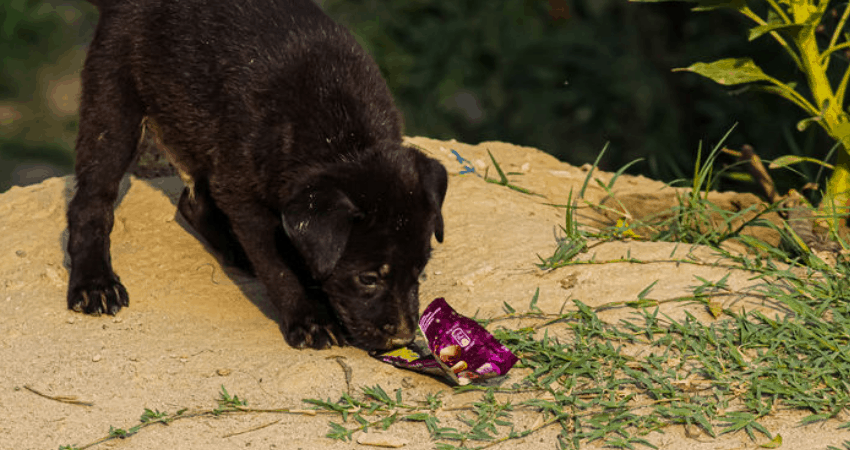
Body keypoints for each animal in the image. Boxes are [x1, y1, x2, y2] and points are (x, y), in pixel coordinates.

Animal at [67, 0, 448, 352]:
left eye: (419, 271)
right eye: (367, 278)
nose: (403, 338)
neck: (342, 138)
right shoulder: (246, 200)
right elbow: (279, 269)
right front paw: (310, 321)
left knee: (192, 200)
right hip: (114, 104)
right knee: (91, 201)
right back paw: (94, 284)